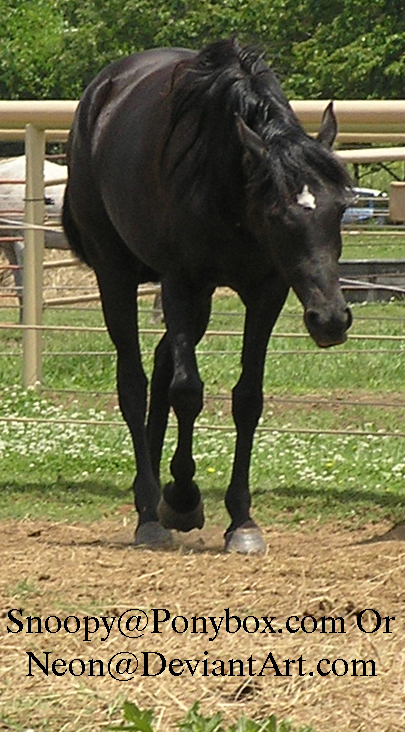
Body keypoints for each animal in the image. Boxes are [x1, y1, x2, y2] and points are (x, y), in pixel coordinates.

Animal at [63, 37, 350, 552]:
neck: (226, 178)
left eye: (340, 207)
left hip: (196, 304)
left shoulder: (267, 291)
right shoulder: (180, 281)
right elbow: (187, 391)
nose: (331, 319)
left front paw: (241, 520)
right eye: (278, 214)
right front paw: (181, 495)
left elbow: (247, 399)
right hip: (117, 276)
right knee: (134, 382)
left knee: (161, 364)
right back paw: (150, 509)